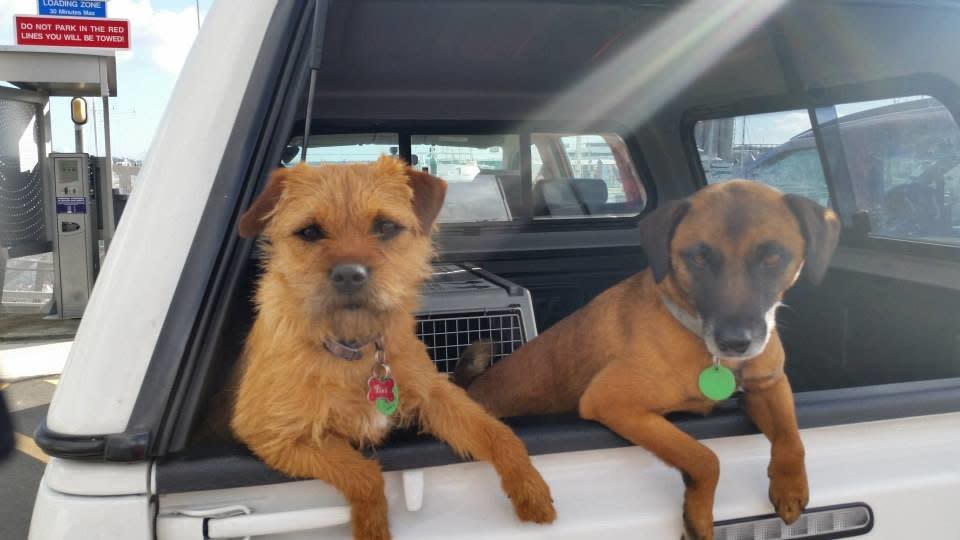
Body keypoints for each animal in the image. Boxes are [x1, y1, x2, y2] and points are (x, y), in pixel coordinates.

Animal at [232, 158, 556, 540]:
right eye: (309, 232)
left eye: (385, 226)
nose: (349, 275)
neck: (356, 349)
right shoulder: (275, 436)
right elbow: (363, 473)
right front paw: (373, 527)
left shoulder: (436, 394)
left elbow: (497, 432)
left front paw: (531, 487)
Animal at [458, 181, 840, 540]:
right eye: (699, 259)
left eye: (773, 257)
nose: (735, 342)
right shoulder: (614, 403)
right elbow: (705, 458)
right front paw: (699, 515)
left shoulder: (769, 385)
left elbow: (791, 436)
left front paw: (790, 487)